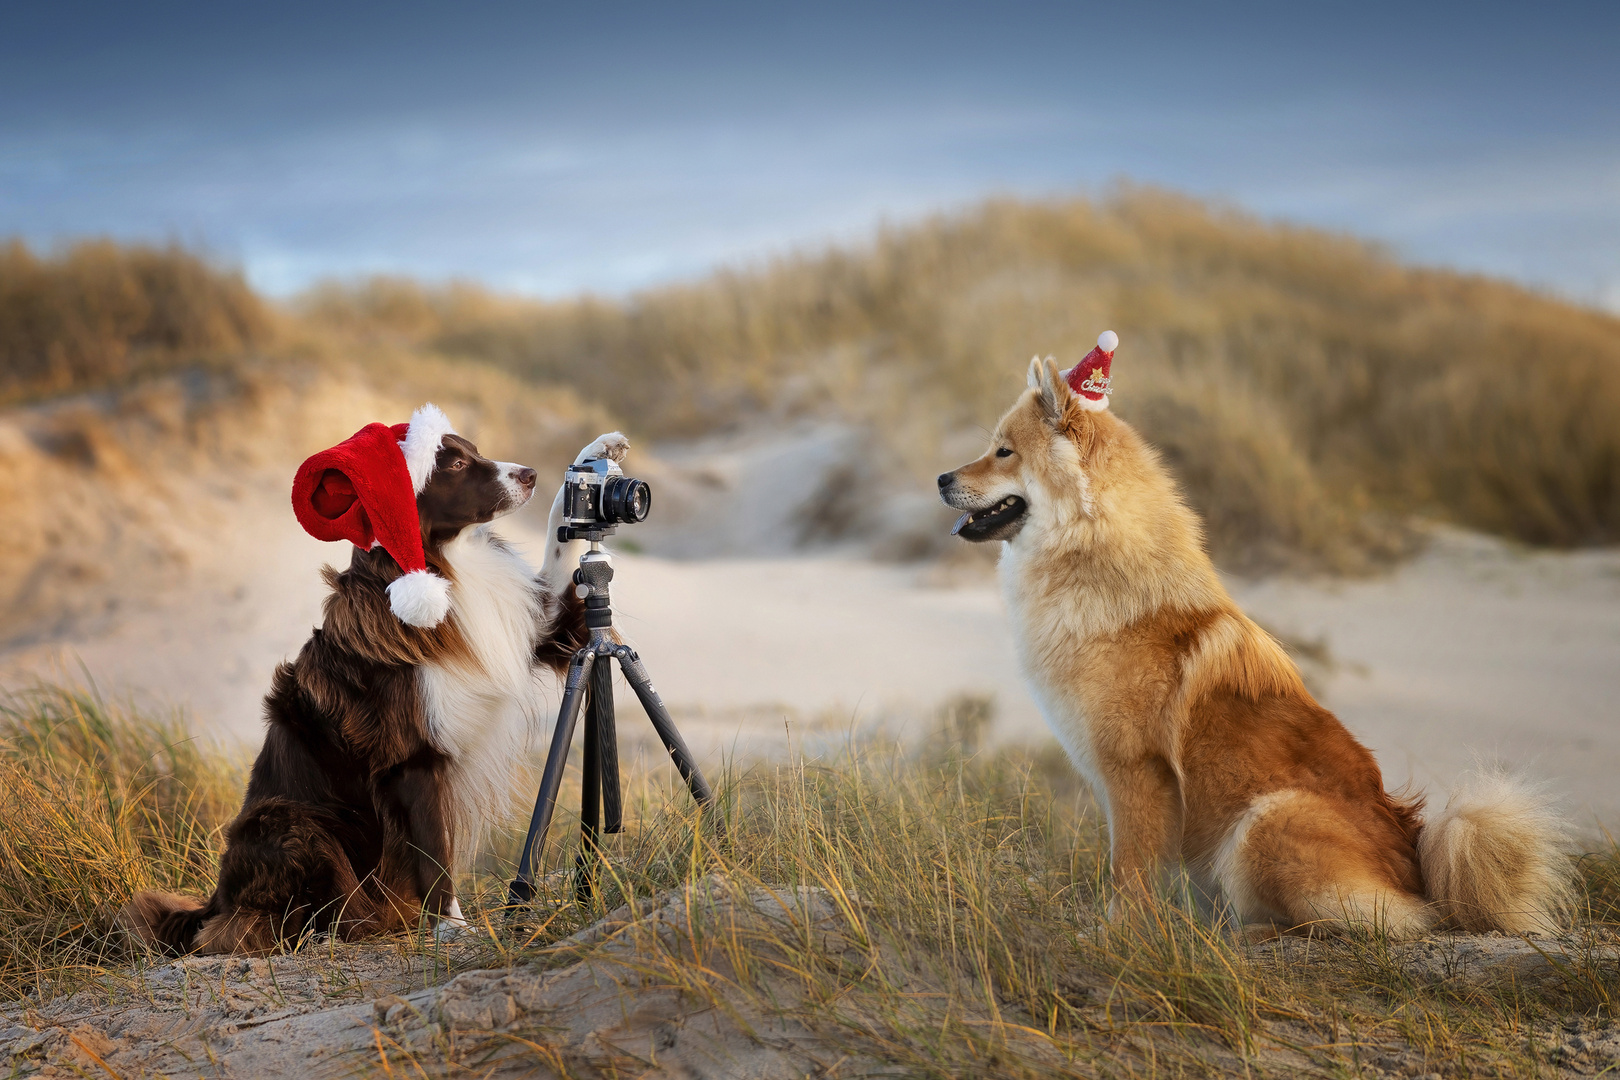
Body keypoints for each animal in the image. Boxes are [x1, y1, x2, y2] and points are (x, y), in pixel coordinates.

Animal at [121, 420, 631, 952]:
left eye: (474, 450)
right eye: (454, 465)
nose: (529, 474)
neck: (448, 565)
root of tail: (216, 898)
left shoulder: (539, 625)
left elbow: (561, 542)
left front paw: (593, 458)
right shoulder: (413, 756)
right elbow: (435, 853)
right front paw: (452, 928)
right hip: (290, 821)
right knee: (256, 922)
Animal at [939, 359, 1568, 932]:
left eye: (1003, 452)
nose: (943, 479)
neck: (1093, 559)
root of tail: (1418, 864)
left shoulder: (1137, 774)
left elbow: (1130, 873)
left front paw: (1120, 934)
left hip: (1264, 821)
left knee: (1361, 919)